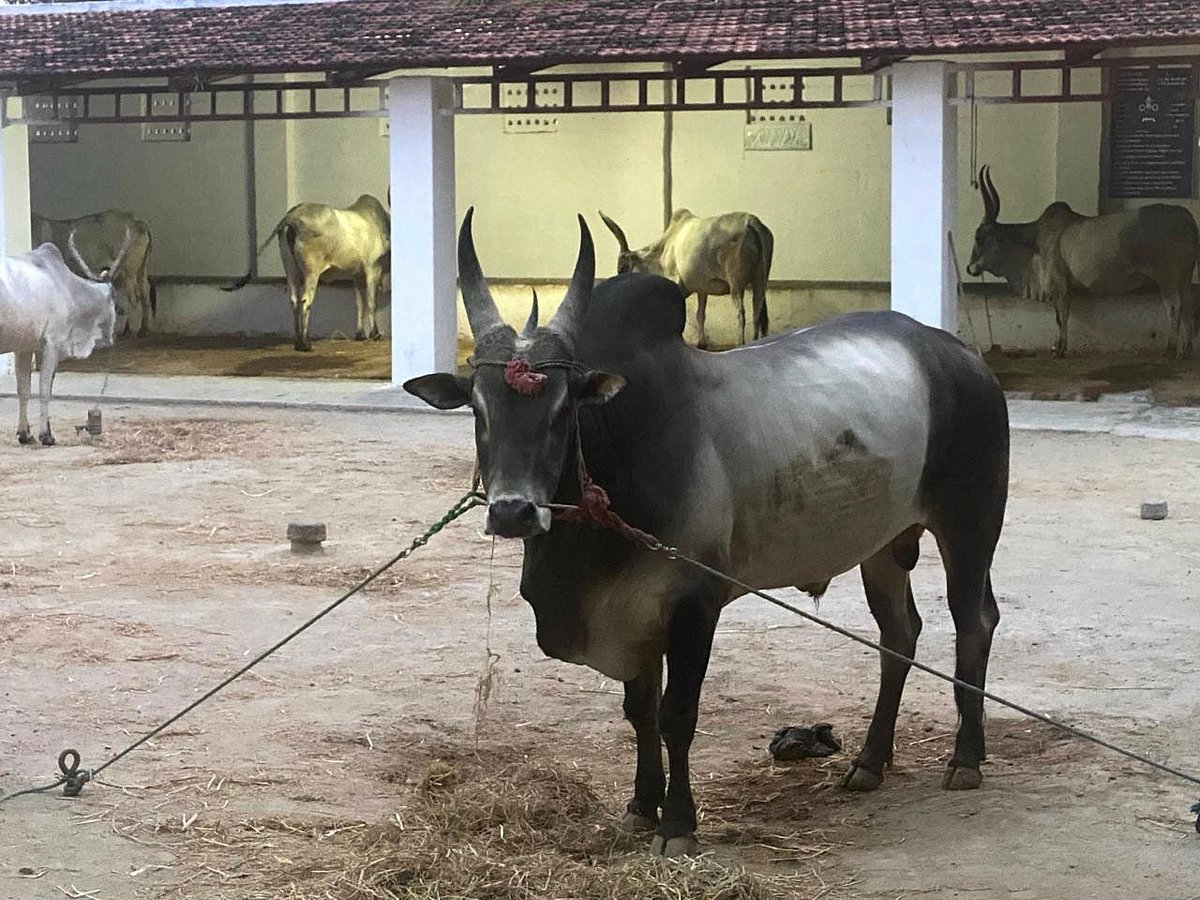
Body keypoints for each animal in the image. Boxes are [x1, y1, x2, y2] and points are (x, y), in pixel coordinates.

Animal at [0, 228, 133, 445]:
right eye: (114, 297)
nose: (110, 340)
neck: (69, 289)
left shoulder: (24, 347)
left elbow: (23, 389)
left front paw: (24, 433)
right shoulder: (52, 344)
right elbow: (45, 391)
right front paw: (46, 435)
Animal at [32, 210, 155, 338]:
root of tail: (138, 221)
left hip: (128, 271)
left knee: (133, 298)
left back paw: (128, 330)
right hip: (141, 269)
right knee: (145, 291)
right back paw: (143, 329)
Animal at [224, 194, 390, 352]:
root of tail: (292, 216)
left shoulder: (357, 275)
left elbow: (360, 304)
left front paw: (360, 335)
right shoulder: (373, 269)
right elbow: (371, 302)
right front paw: (374, 334)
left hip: (291, 269)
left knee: (294, 300)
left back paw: (298, 342)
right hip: (312, 272)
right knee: (305, 301)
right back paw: (305, 344)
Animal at [599, 208, 773, 349]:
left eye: (622, 268)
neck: (665, 248)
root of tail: (752, 222)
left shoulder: (677, 284)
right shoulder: (703, 288)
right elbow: (700, 314)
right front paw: (701, 343)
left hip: (736, 284)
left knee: (741, 312)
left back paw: (741, 343)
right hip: (760, 281)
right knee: (757, 311)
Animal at [966, 165, 1199, 358]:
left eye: (980, 237)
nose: (969, 268)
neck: (1034, 241)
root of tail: (1187, 219)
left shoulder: (1059, 284)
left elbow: (1061, 315)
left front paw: (1059, 349)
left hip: (1167, 276)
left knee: (1174, 306)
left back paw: (1170, 350)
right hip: (1185, 276)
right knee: (1188, 305)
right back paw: (1186, 349)